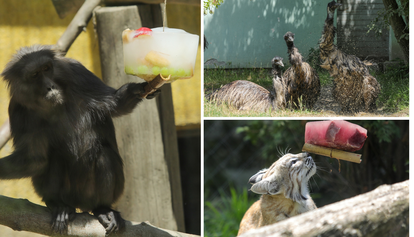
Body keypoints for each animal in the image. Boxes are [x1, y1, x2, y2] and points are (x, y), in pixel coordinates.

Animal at [0, 45, 160, 234]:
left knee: (104, 155)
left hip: (89, 193)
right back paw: (59, 206)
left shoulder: (77, 72)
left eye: (46, 68)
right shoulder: (17, 110)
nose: (50, 86)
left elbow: (117, 104)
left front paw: (138, 89)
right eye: (35, 75)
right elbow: (34, 160)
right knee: (55, 158)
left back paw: (103, 209)